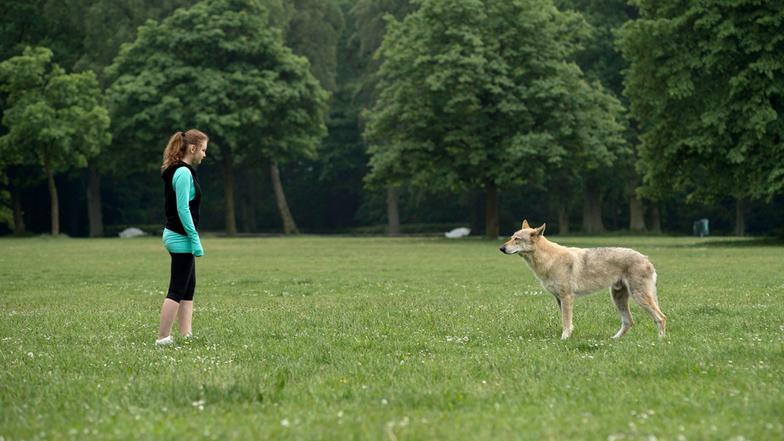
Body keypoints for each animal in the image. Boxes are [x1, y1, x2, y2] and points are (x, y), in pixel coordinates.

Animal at [502, 218, 668, 338]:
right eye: (511, 237)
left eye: (517, 239)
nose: (501, 248)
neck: (549, 260)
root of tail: (647, 259)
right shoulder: (559, 299)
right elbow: (566, 322)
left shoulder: (566, 297)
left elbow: (566, 322)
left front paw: (564, 339)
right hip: (618, 298)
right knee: (629, 322)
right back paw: (614, 340)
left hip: (638, 297)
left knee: (661, 317)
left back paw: (660, 341)